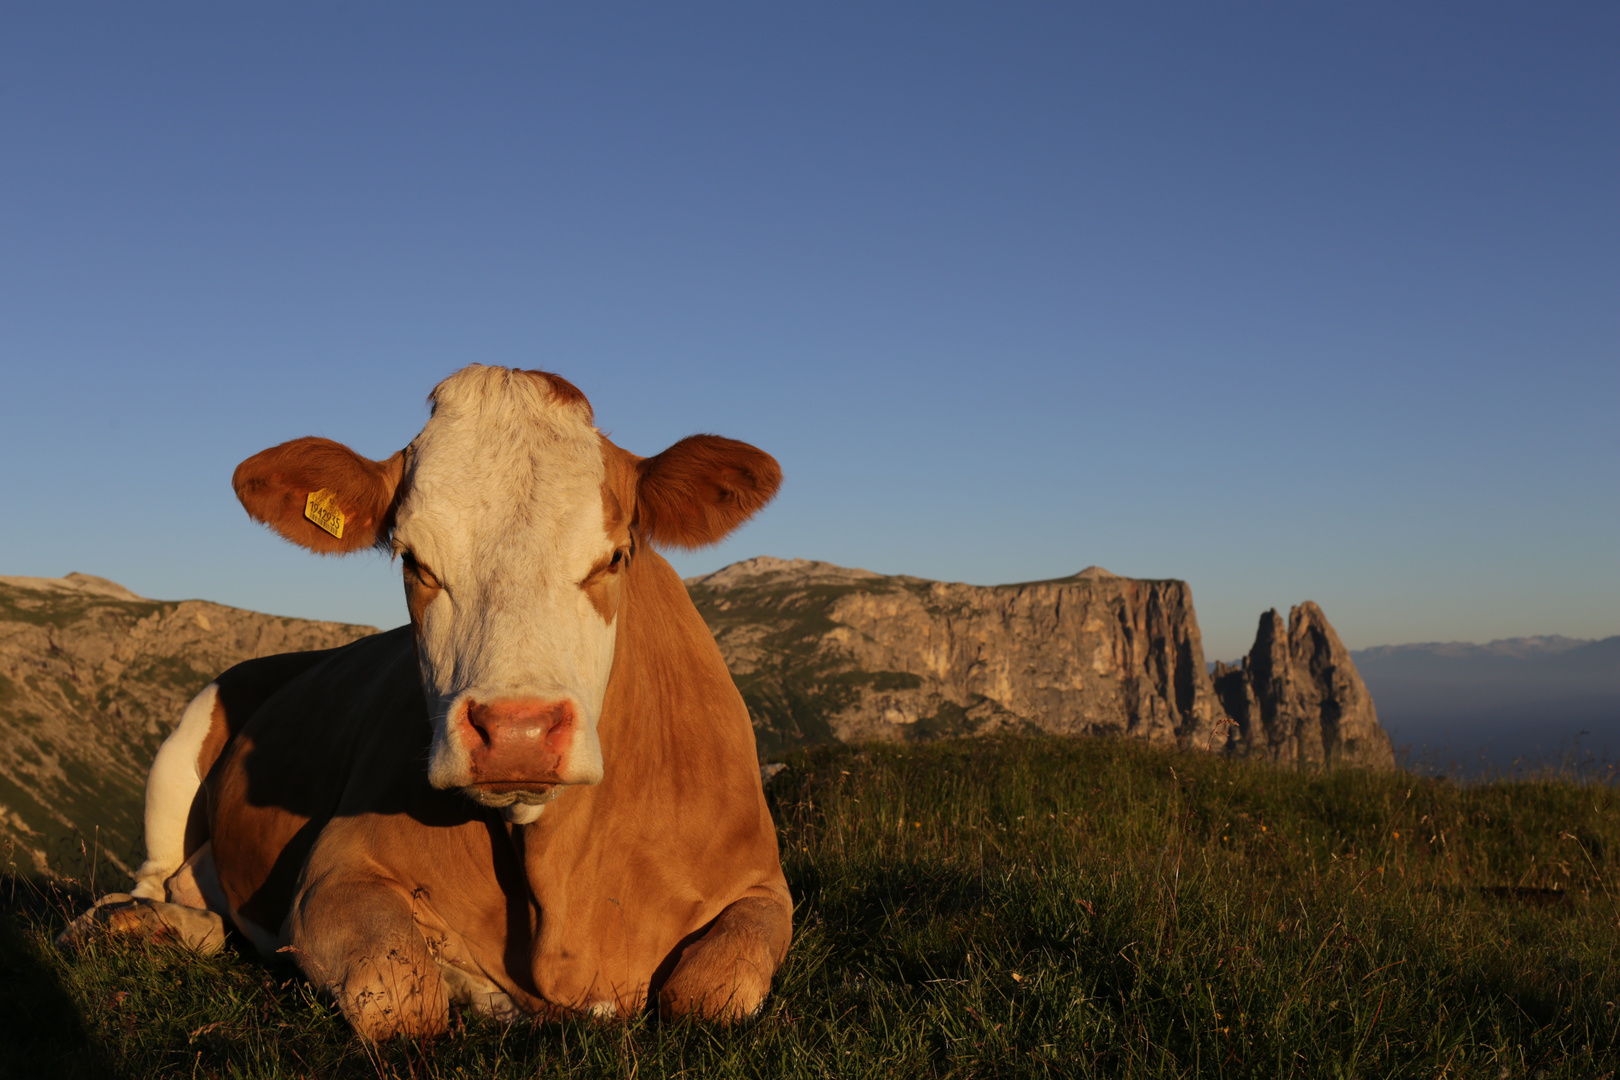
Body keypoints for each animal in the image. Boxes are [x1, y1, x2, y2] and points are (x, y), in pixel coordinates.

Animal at [72, 369, 793, 1036]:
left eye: (615, 557)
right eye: (412, 560)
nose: (517, 733)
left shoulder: (763, 883)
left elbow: (713, 993)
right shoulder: (334, 871)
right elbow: (400, 995)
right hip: (181, 748)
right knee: (156, 878)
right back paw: (127, 924)